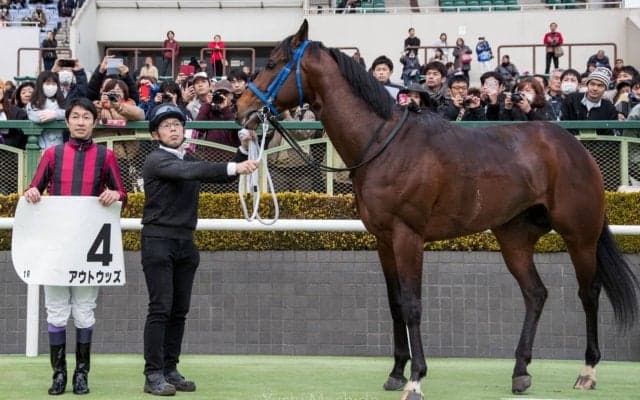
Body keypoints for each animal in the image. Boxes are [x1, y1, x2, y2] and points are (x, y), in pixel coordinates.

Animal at [236, 20, 639, 400]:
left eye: (271, 63)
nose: (242, 108)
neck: (383, 145)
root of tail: (573, 145)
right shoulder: (383, 240)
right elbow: (395, 303)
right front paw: (396, 372)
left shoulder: (408, 237)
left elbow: (413, 304)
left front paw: (416, 379)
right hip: (514, 236)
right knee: (535, 293)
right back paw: (520, 371)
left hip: (579, 234)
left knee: (588, 292)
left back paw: (587, 371)